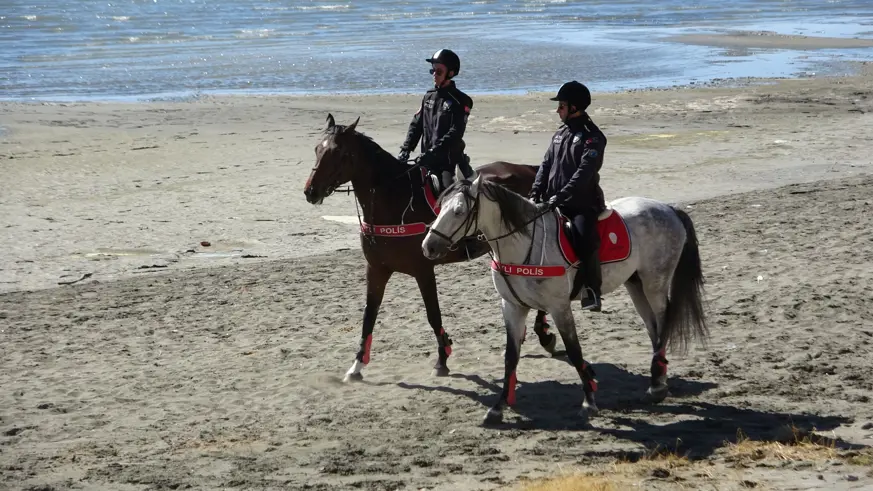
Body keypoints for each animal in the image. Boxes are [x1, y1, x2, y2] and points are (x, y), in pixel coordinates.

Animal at [304, 116, 556, 384]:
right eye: (317, 149)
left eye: (338, 152)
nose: (310, 191)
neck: (395, 200)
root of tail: (530, 169)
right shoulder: (376, 270)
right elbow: (368, 316)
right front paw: (357, 365)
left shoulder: (423, 270)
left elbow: (433, 314)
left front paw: (442, 358)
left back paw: (544, 333)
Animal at [420, 178, 708, 426]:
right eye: (440, 207)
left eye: (459, 211)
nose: (428, 247)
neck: (523, 245)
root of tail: (668, 208)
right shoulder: (512, 307)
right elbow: (511, 357)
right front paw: (498, 407)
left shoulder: (559, 308)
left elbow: (574, 350)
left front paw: (589, 400)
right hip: (635, 284)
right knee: (653, 328)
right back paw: (657, 382)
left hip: (654, 284)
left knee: (663, 323)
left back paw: (657, 384)